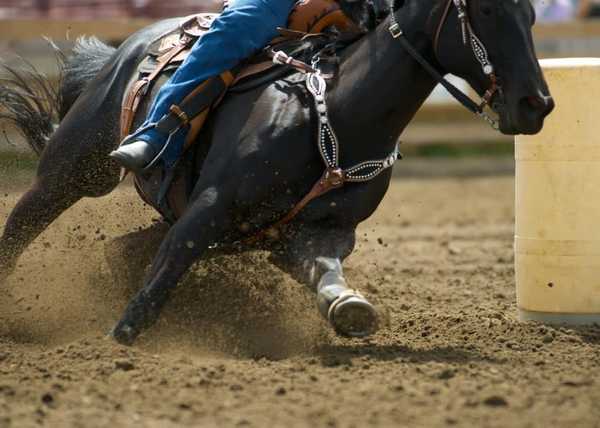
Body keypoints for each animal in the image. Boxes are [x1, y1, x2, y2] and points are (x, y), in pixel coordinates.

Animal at [0, 0, 552, 344]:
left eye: (530, 13)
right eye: (486, 10)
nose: (537, 104)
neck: (337, 116)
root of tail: (128, 46)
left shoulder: (319, 233)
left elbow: (326, 274)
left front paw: (349, 307)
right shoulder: (211, 206)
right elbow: (169, 267)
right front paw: (123, 336)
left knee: (121, 250)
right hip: (72, 171)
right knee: (22, 223)